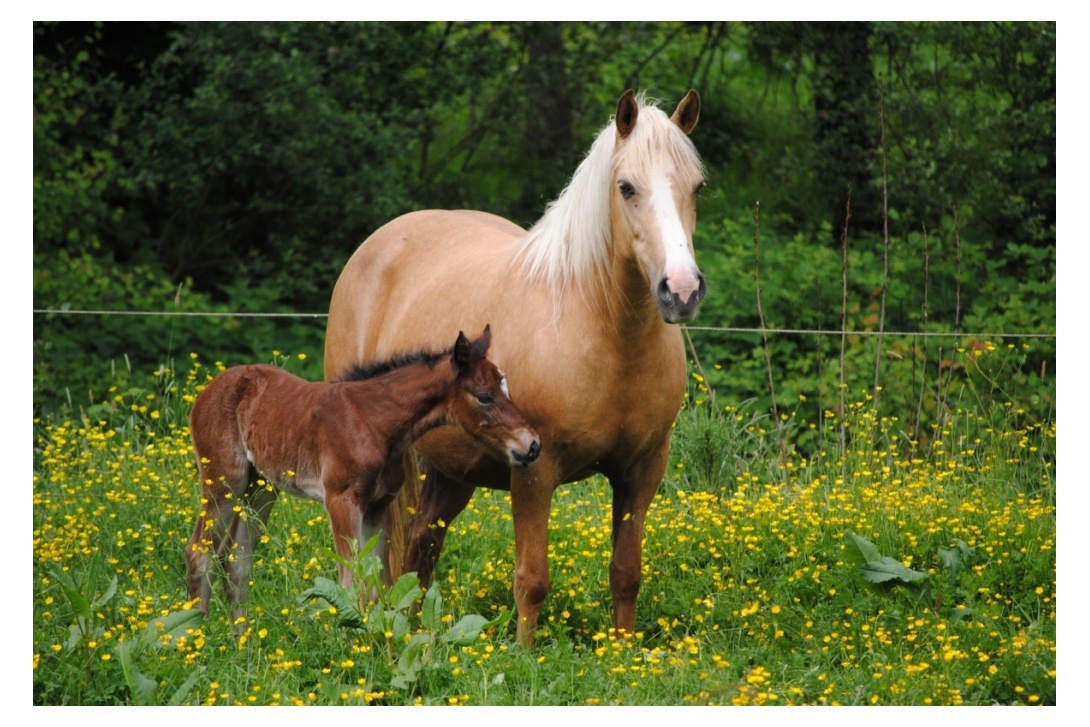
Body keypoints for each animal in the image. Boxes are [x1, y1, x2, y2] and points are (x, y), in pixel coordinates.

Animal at [191, 324, 545, 627]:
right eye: (484, 396)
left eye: (507, 390)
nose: (532, 446)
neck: (375, 421)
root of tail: (208, 390)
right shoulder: (341, 500)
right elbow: (350, 581)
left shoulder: (378, 506)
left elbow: (375, 584)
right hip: (223, 481)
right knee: (199, 552)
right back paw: (197, 639)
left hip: (262, 486)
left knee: (236, 560)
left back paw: (242, 641)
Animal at [322, 89, 706, 640]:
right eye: (626, 187)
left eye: (697, 186)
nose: (681, 290)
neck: (606, 333)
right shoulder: (534, 471)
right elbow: (532, 579)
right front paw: (524, 654)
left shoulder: (642, 471)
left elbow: (626, 573)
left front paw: (623, 650)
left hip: (452, 470)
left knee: (420, 546)